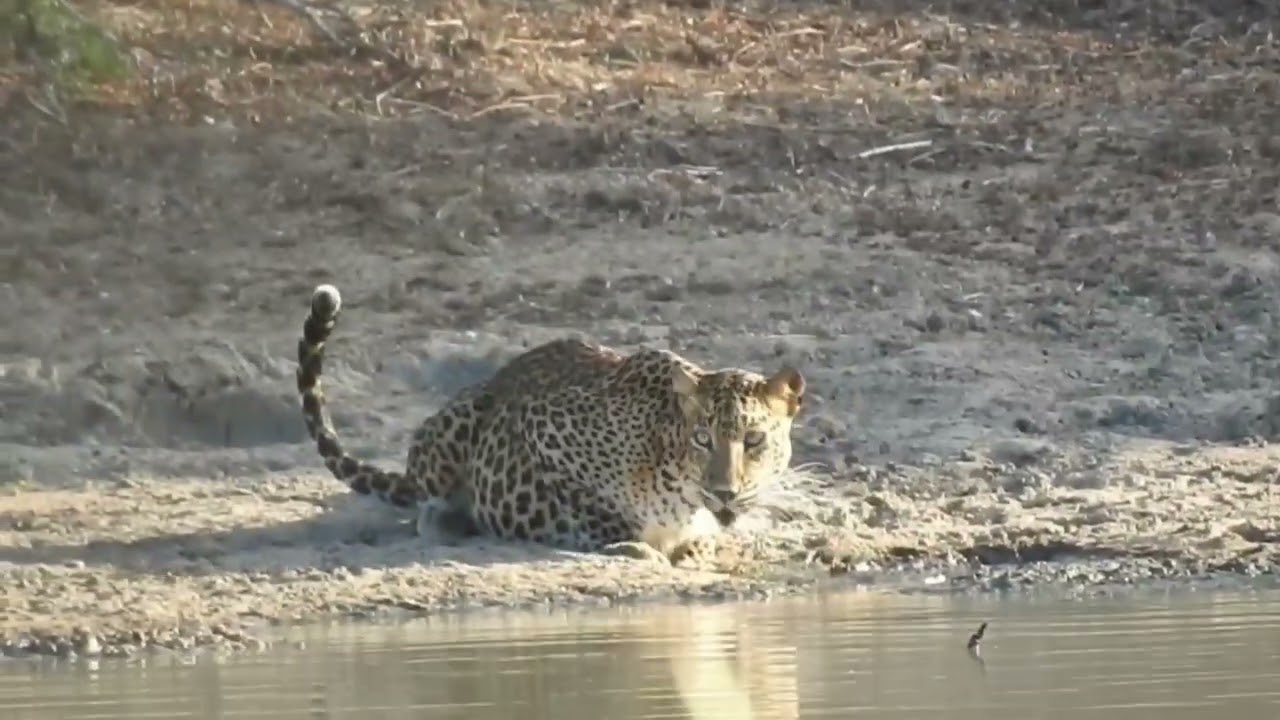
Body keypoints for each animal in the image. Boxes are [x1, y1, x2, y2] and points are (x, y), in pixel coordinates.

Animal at [295, 283, 806, 566]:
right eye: (703, 439)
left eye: (754, 439)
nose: (725, 492)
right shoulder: (542, 430)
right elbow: (598, 512)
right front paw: (634, 542)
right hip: (455, 426)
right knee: (423, 500)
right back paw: (450, 519)